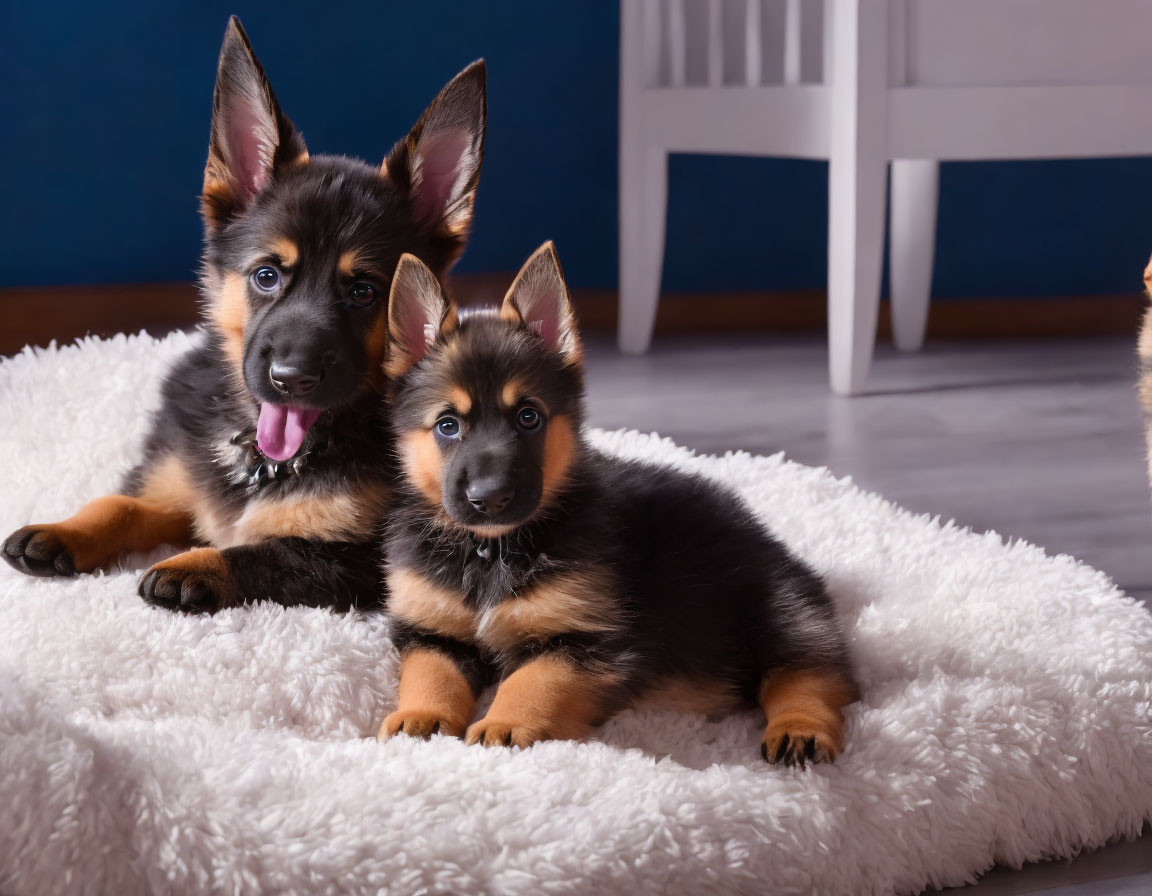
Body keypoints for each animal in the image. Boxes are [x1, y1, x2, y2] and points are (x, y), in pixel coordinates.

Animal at [1, 15, 486, 612]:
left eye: (364, 291)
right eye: (266, 275)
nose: (291, 379)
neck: (259, 456)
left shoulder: (353, 562)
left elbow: (264, 553)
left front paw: (190, 566)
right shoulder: (175, 488)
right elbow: (122, 504)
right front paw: (64, 529)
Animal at [375, 243, 857, 760]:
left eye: (528, 417)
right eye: (447, 425)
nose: (491, 498)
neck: (490, 549)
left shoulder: (587, 640)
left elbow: (532, 680)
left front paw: (504, 722)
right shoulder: (432, 631)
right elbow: (431, 673)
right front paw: (420, 716)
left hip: (782, 611)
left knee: (811, 672)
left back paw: (800, 728)